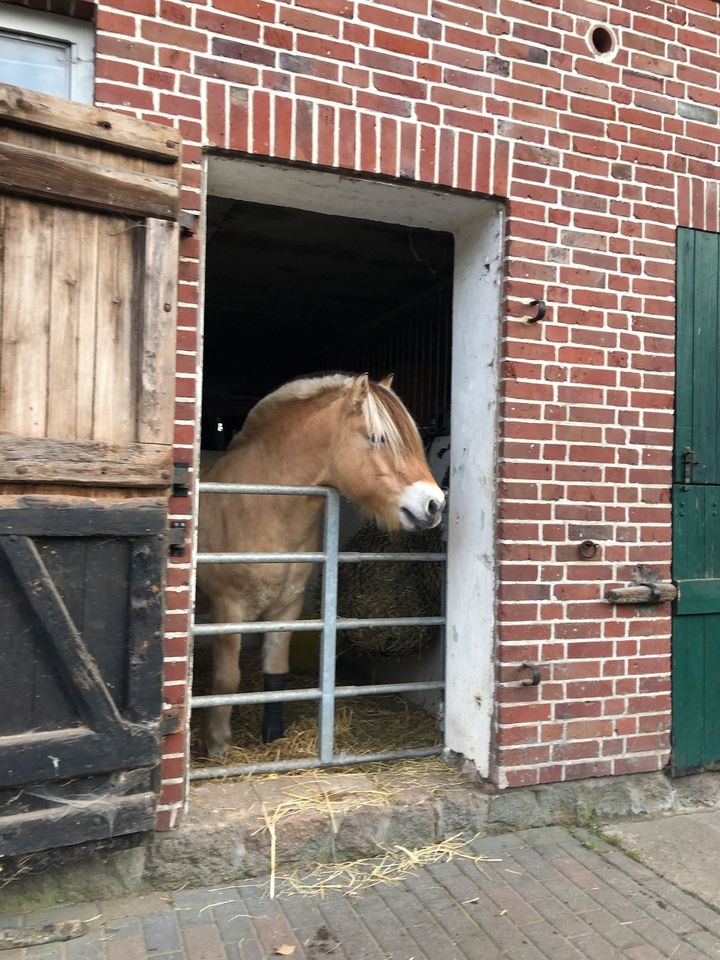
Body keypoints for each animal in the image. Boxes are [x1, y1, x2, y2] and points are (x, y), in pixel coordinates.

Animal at [195, 372, 444, 752]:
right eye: (378, 438)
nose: (434, 505)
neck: (258, 505)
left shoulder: (286, 608)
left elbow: (276, 674)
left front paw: (273, 737)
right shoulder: (227, 608)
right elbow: (226, 680)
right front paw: (219, 745)